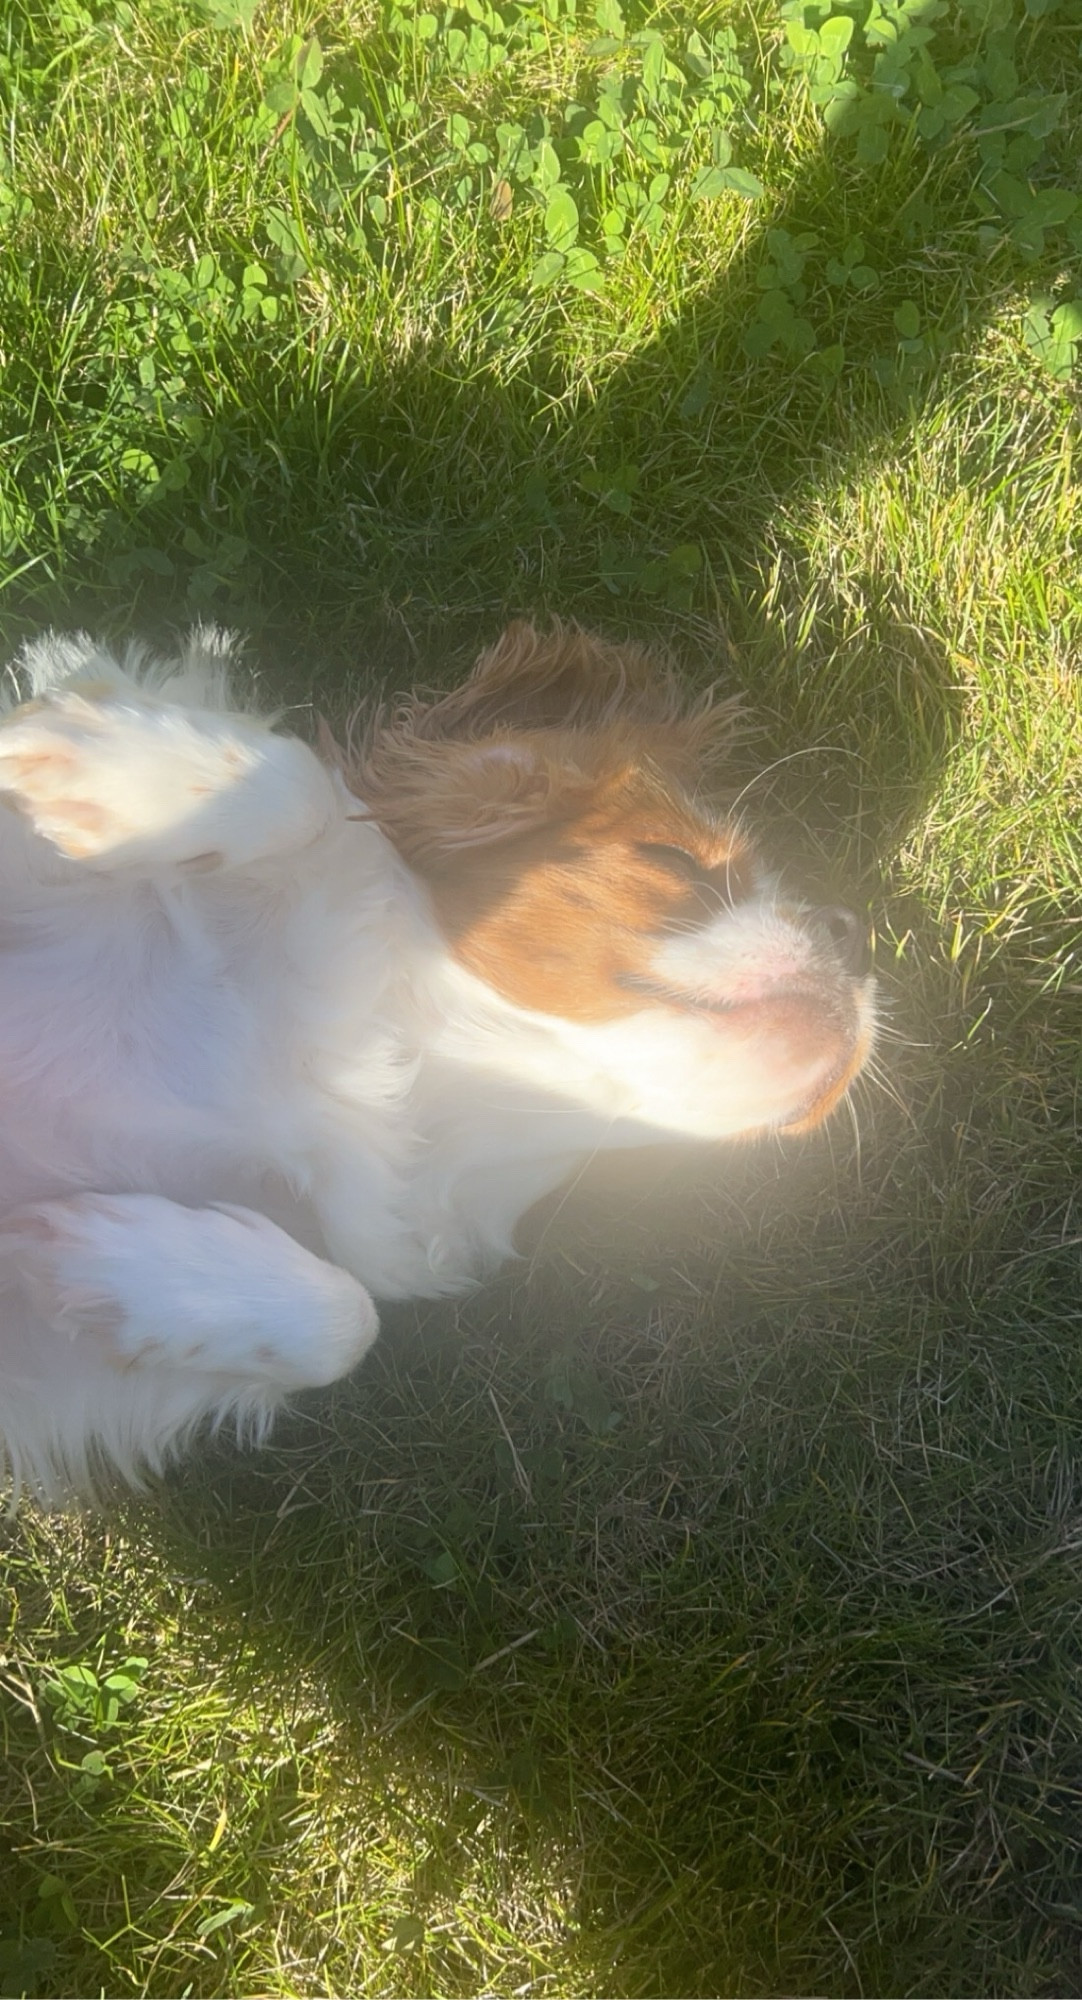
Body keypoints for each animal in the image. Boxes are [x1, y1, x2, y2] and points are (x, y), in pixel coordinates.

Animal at [0, 616, 872, 1496]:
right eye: (673, 861)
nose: (858, 931)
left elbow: (350, 1318)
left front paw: (105, 1267)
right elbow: (306, 787)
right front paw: (90, 760)